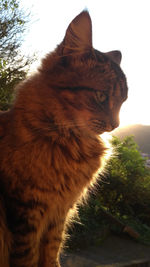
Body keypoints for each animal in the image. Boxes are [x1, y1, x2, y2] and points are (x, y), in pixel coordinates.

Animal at [0, 10, 127, 267]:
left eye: (122, 101)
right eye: (101, 96)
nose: (116, 125)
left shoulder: (59, 213)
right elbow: (27, 256)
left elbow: (51, 252)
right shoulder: (26, 209)